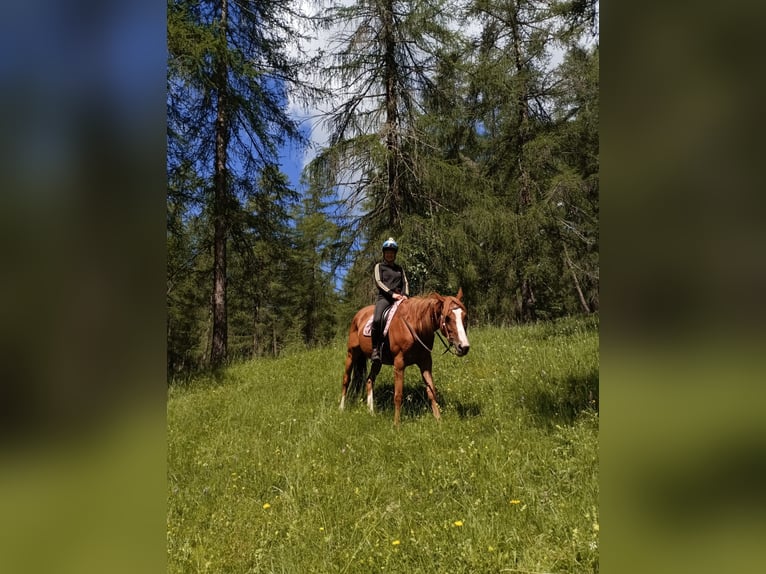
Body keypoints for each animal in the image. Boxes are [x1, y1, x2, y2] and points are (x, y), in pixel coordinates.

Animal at [340, 290, 472, 426]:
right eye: (447, 318)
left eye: (465, 317)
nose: (464, 347)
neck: (415, 327)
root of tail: (359, 315)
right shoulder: (399, 364)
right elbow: (398, 395)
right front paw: (396, 423)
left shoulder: (425, 362)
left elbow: (431, 392)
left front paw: (438, 420)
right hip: (351, 354)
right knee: (346, 380)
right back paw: (341, 408)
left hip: (377, 362)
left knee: (370, 380)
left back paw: (371, 411)